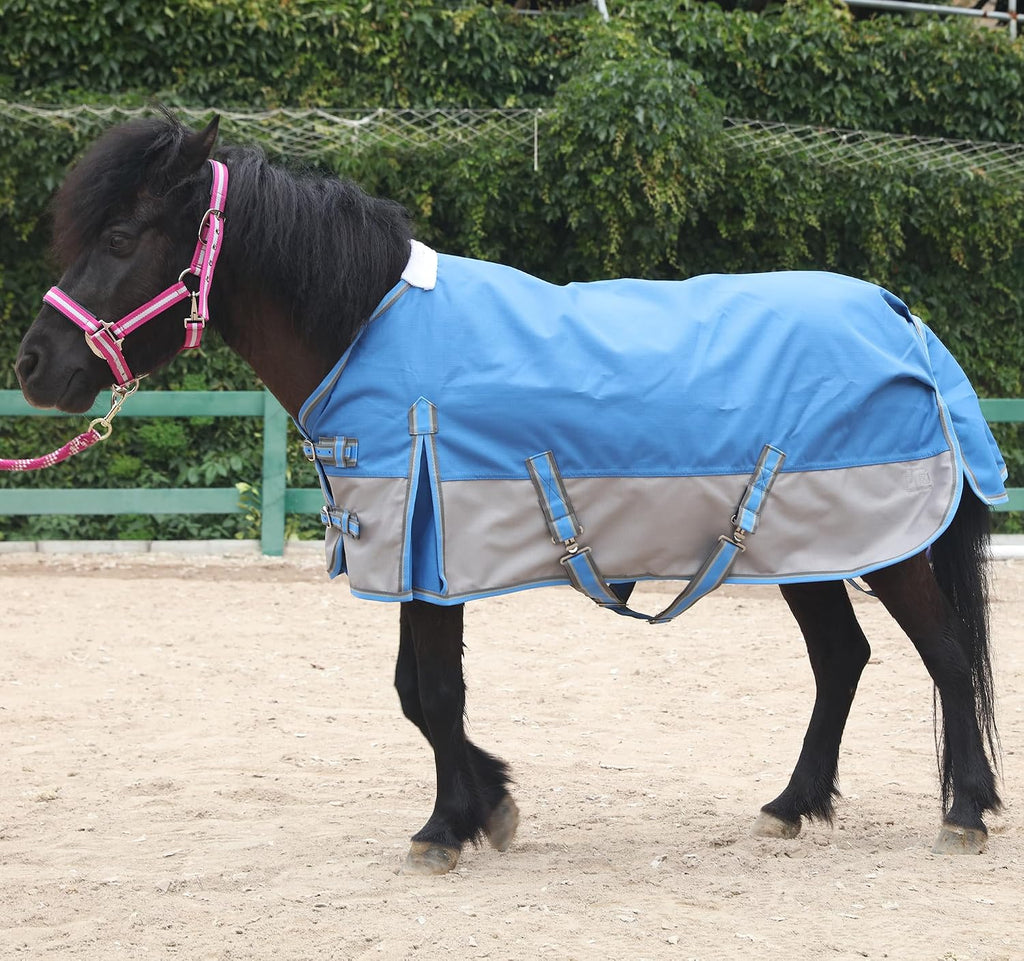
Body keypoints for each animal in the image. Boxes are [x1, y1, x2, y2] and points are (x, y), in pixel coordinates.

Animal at [14, 114, 1005, 874]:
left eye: (120, 238)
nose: (33, 365)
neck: (367, 329)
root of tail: (900, 315)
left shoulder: (431, 553)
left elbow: (435, 691)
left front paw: (447, 828)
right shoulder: (414, 560)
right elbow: (416, 695)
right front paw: (486, 805)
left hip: (881, 546)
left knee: (946, 657)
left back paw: (965, 812)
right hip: (804, 549)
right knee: (843, 660)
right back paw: (792, 804)